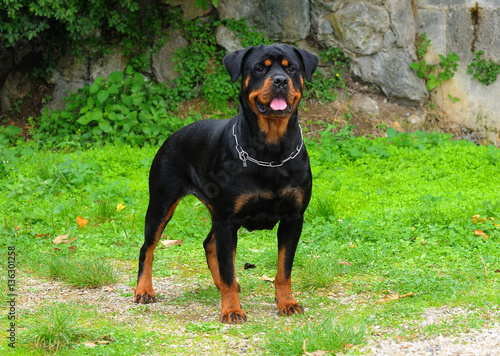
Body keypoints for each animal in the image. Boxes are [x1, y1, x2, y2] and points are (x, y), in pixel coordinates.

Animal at [135, 43, 318, 322]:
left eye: (291, 68)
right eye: (260, 68)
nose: (279, 80)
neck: (271, 152)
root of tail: (172, 136)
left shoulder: (293, 218)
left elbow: (283, 269)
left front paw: (287, 302)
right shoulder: (227, 220)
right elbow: (229, 270)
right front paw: (232, 309)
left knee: (209, 244)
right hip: (161, 203)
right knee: (148, 248)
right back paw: (144, 290)